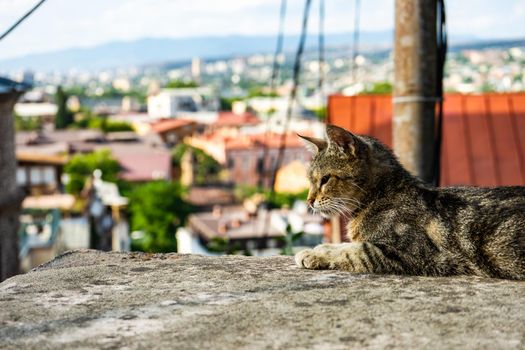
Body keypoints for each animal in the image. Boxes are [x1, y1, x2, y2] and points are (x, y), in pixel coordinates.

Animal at [294, 124, 524, 280]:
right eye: (310, 180)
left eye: (325, 179)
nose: (309, 201)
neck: (381, 195)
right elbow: (345, 244)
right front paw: (319, 248)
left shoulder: (410, 253)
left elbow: (352, 251)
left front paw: (315, 253)